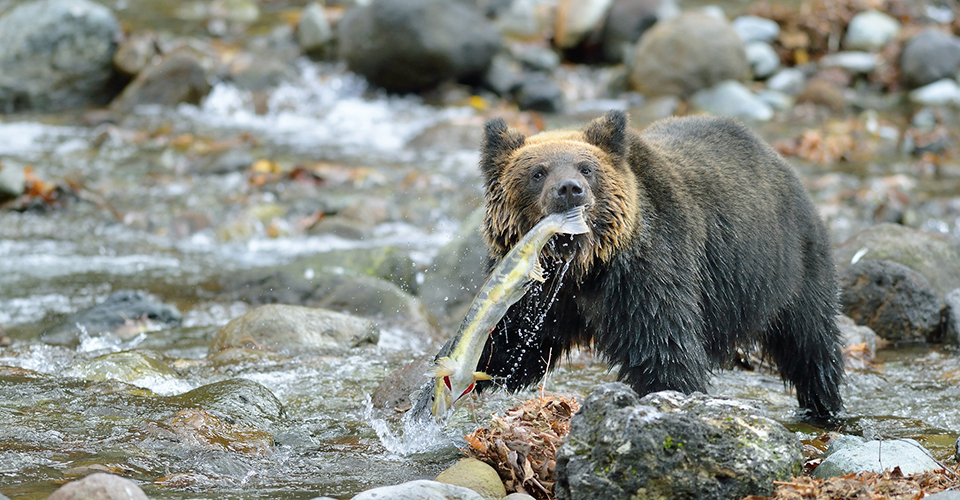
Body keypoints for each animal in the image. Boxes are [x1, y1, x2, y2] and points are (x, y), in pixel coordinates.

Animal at [476, 111, 844, 420]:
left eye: (586, 168)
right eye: (538, 172)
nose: (569, 189)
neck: (585, 267)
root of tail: (780, 161)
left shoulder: (648, 272)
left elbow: (664, 350)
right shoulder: (536, 291)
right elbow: (509, 345)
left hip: (789, 265)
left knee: (810, 341)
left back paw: (824, 404)